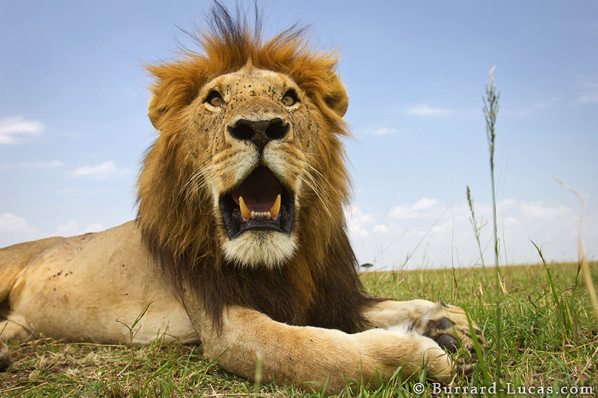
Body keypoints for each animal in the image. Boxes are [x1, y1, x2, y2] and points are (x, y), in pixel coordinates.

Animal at [0, 5, 482, 392]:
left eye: (290, 97)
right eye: (214, 99)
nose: (260, 127)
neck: (281, 262)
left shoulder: (325, 296)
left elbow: (389, 306)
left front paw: (447, 321)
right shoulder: (226, 325)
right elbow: (318, 353)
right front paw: (421, 355)